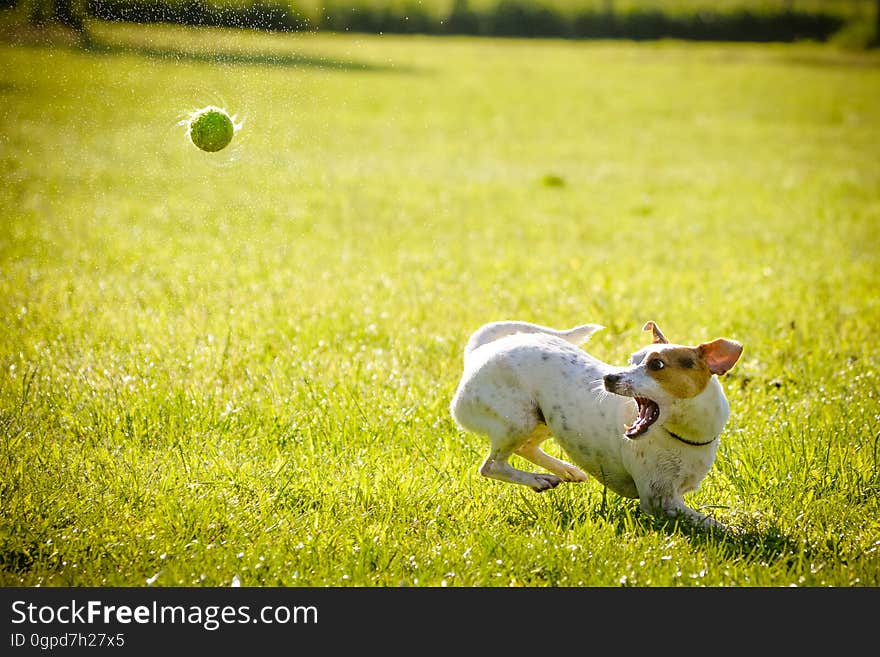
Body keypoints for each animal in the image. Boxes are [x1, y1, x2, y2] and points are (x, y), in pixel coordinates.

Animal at [446, 318, 744, 528]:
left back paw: (565, 471)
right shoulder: (659, 501)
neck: (682, 434)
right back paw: (539, 479)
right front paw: (736, 531)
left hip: (545, 420)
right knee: (492, 465)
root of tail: (479, 352)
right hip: (519, 419)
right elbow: (711, 523)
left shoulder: (673, 495)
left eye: (657, 365)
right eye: (632, 360)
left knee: (524, 448)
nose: (609, 377)